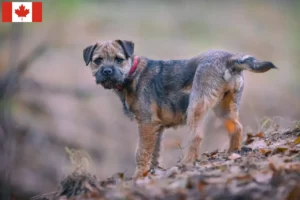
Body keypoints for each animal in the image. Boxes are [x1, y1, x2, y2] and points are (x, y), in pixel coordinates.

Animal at [82, 39, 276, 179]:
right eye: (97, 60)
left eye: (119, 59)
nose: (107, 71)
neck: (132, 73)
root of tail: (229, 58)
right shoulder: (156, 128)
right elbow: (154, 153)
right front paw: (150, 173)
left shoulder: (146, 123)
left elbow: (141, 152)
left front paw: (138, 177)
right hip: (225, 106)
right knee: (236, 127)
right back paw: (233, 153)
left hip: (196, 106)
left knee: (197, 137)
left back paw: (185, 164)